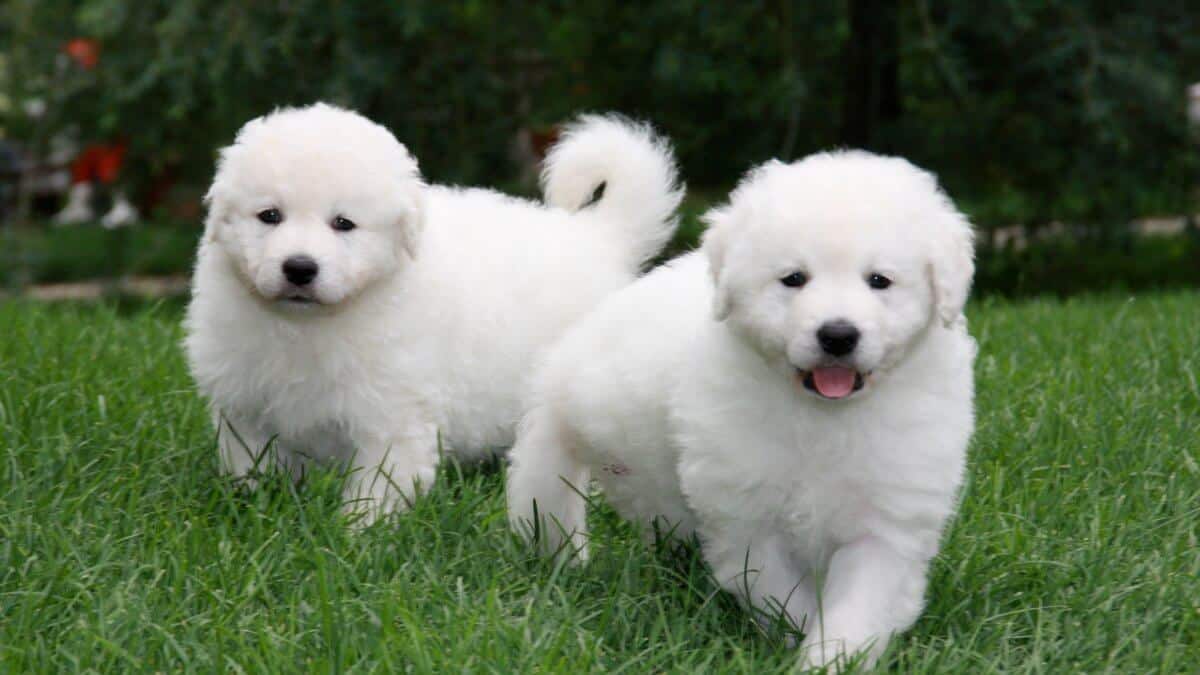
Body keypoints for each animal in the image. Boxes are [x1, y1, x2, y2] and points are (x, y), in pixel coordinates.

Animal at [182, 102, 681, 523]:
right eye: (269, 215)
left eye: (343, 223)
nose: (300, 268)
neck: (307, 327)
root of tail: (599, 235)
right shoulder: (245, 407)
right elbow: (251, 464)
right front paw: (253, 507)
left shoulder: (392, 414)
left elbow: (376, 489)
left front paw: (358, 540)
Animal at [506, 148, 974, 667]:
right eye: (794, 279)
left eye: (879, 281)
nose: (837, 335)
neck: (823, 417)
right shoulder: (745, 514)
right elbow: (777, 590)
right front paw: (798, 639)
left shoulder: (887, 522)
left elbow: (857, 607)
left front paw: (830, 659)